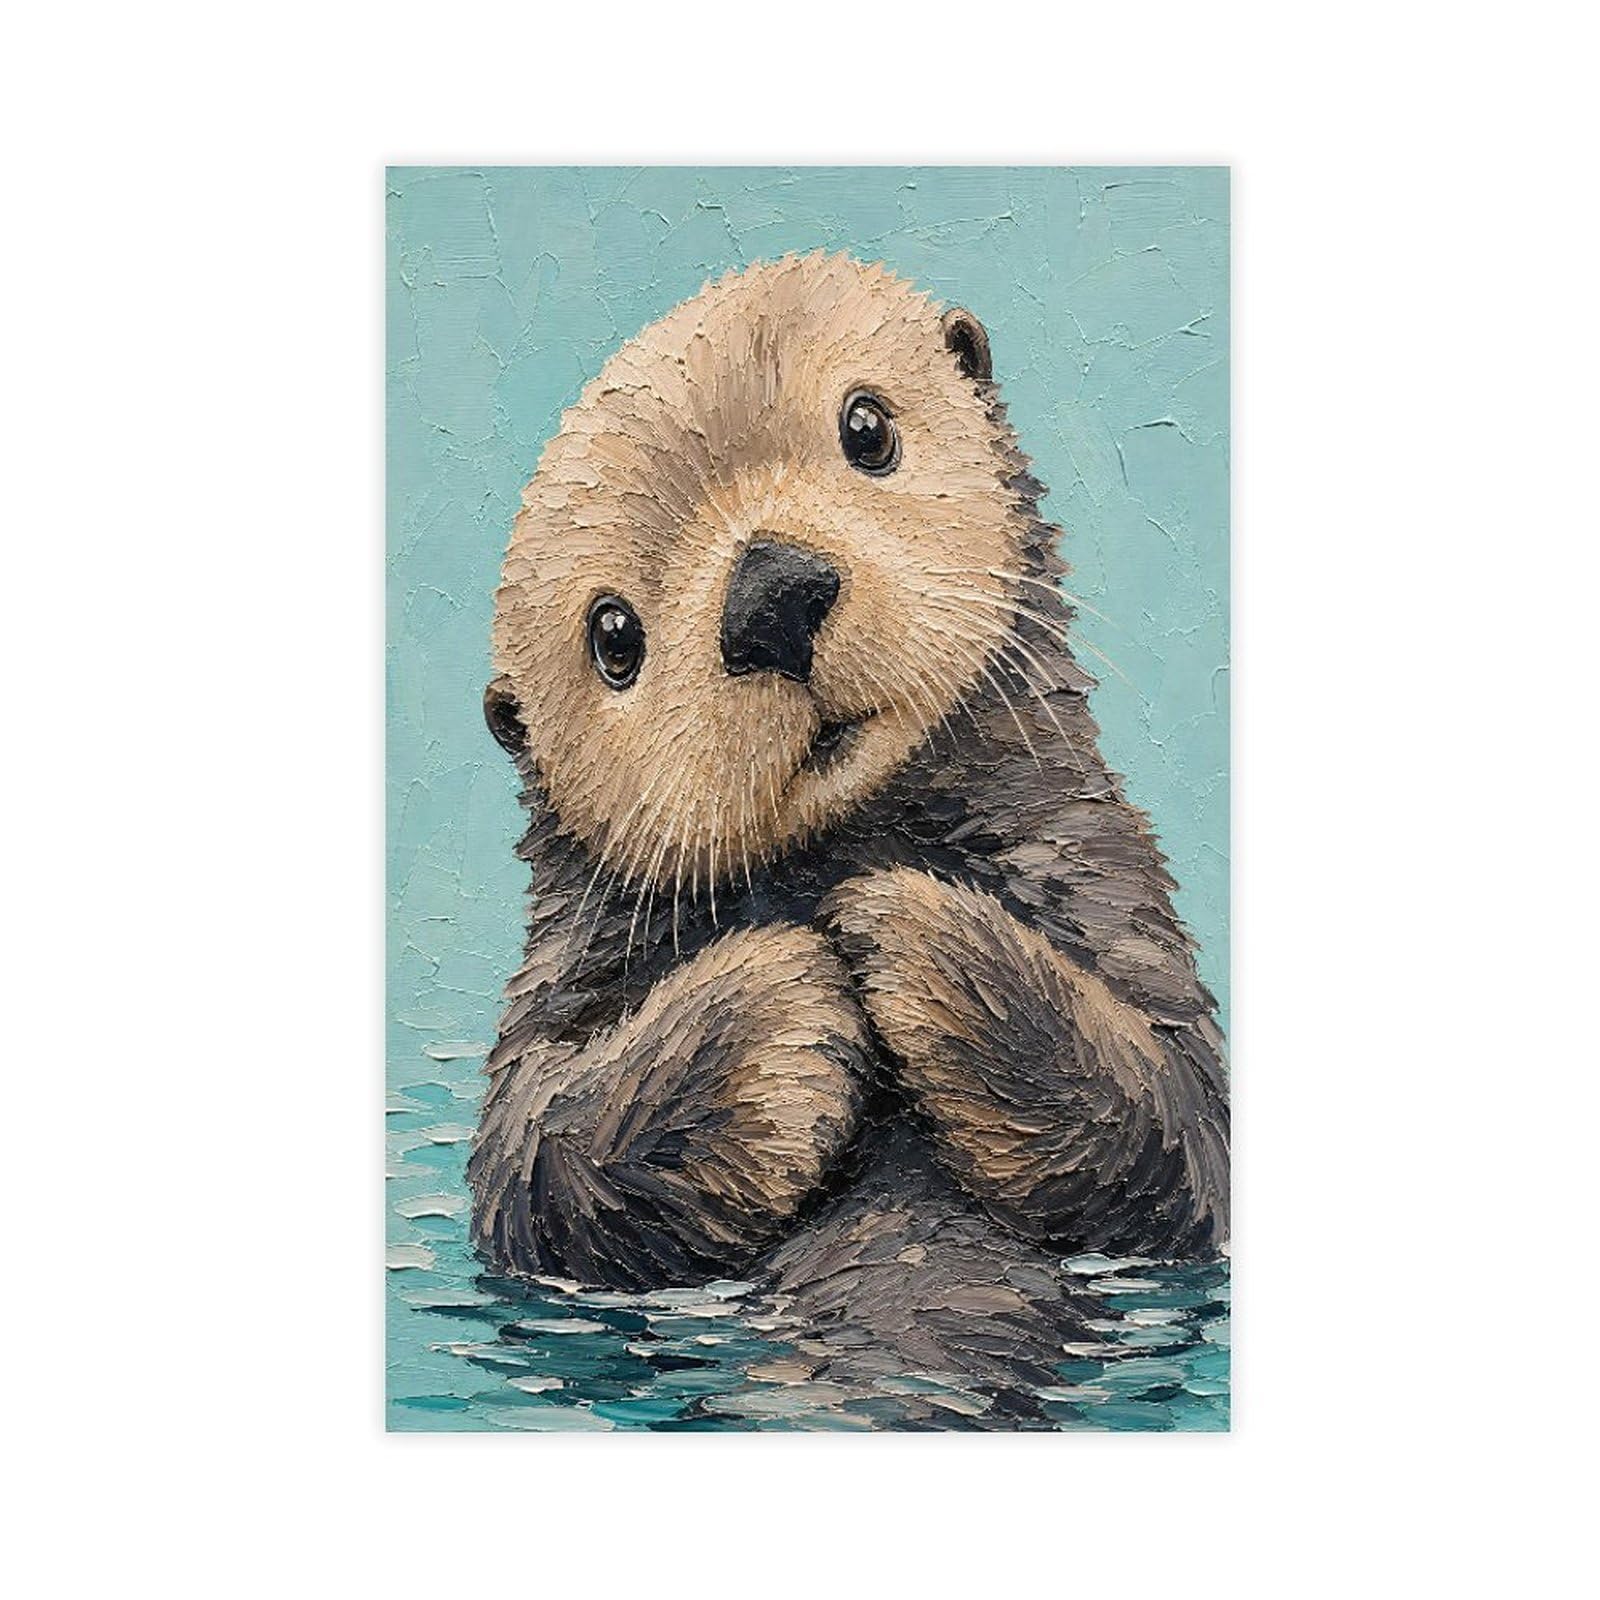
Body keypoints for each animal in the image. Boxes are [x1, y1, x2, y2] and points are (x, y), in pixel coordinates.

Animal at [469, 253, 1228, 1403]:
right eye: (613, 637)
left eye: (866, 428)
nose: (770, 597)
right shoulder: (553, 1020)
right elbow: (534, 1165)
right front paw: (786, 985)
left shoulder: (1108, 890)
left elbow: (1180, 1120)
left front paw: (906, 933)